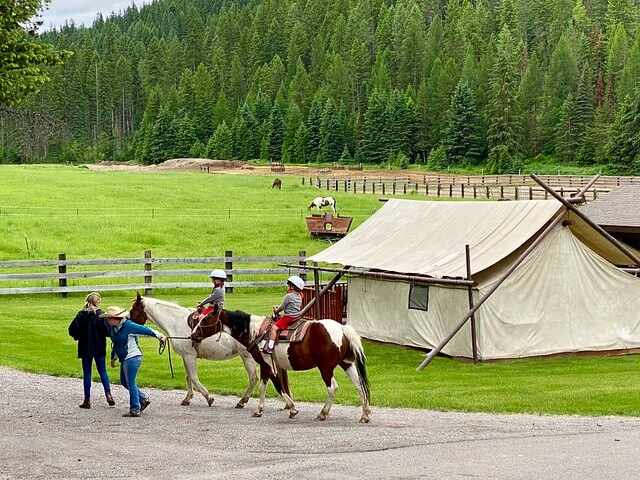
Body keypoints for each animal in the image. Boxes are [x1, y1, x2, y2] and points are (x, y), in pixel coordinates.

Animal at [127, 292, 260, 408]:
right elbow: (188, 376)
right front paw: (188, 398)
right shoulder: (185, 357)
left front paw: (209, 398)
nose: (126, 321)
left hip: (246, 356)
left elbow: (194, 377)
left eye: (133, 309)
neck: (176, 322)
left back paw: (242, 401)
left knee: (253, 377)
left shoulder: (189, 356)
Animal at [190, 306, 370, 422]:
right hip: (347, 364)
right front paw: (259, 410)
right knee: (359, 386)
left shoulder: (268, 364)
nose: (193, 335)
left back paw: (322, 414)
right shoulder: (264, 365)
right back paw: (365, 414)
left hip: (325, 368)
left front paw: (293, 409)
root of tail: (342, 328)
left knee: (333, 388)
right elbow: (263, 386)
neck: (257, 332)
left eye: (207, 318)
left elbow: (277, 385)